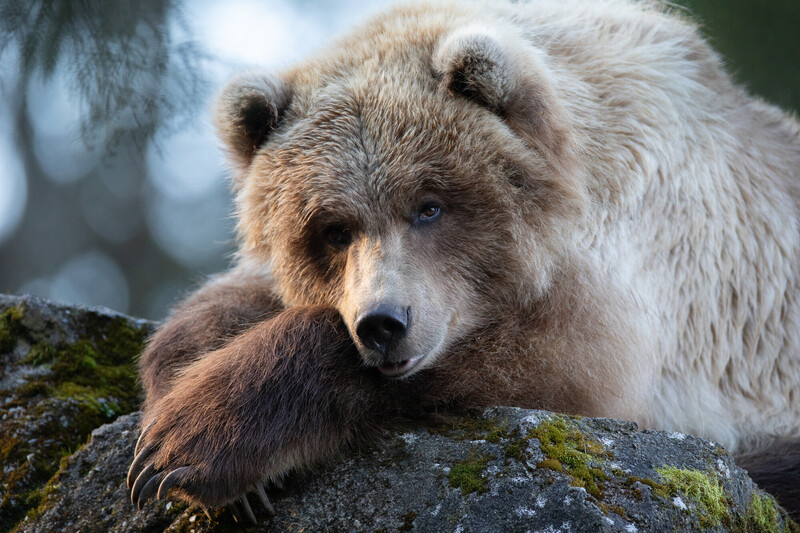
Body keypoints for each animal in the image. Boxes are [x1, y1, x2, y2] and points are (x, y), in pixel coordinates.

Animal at [127, 0, 800, 523]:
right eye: (333, 229)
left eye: (429, 206)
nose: (383, 324)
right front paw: (178, 389)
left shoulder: (656, 284)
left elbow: (560, 364)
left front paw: (196, 440)